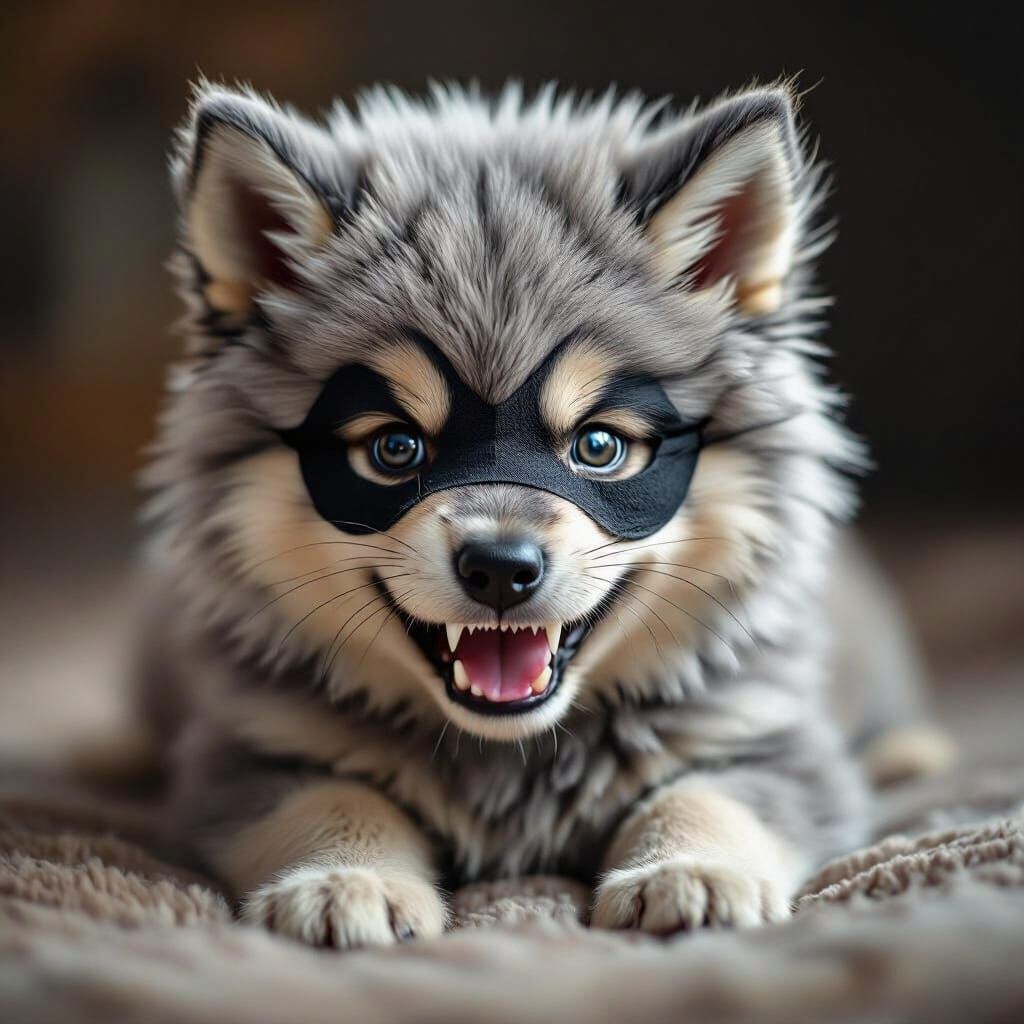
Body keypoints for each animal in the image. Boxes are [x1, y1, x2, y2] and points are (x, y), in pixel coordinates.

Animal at [139, 80, 932, 948]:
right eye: (393, 449)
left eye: (599, 446)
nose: (500, 568)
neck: (511, 754)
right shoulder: (249, 753)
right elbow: (329, 799)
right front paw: (345, 877)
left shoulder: (772, 743)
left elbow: (706, 796)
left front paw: (690, 869)